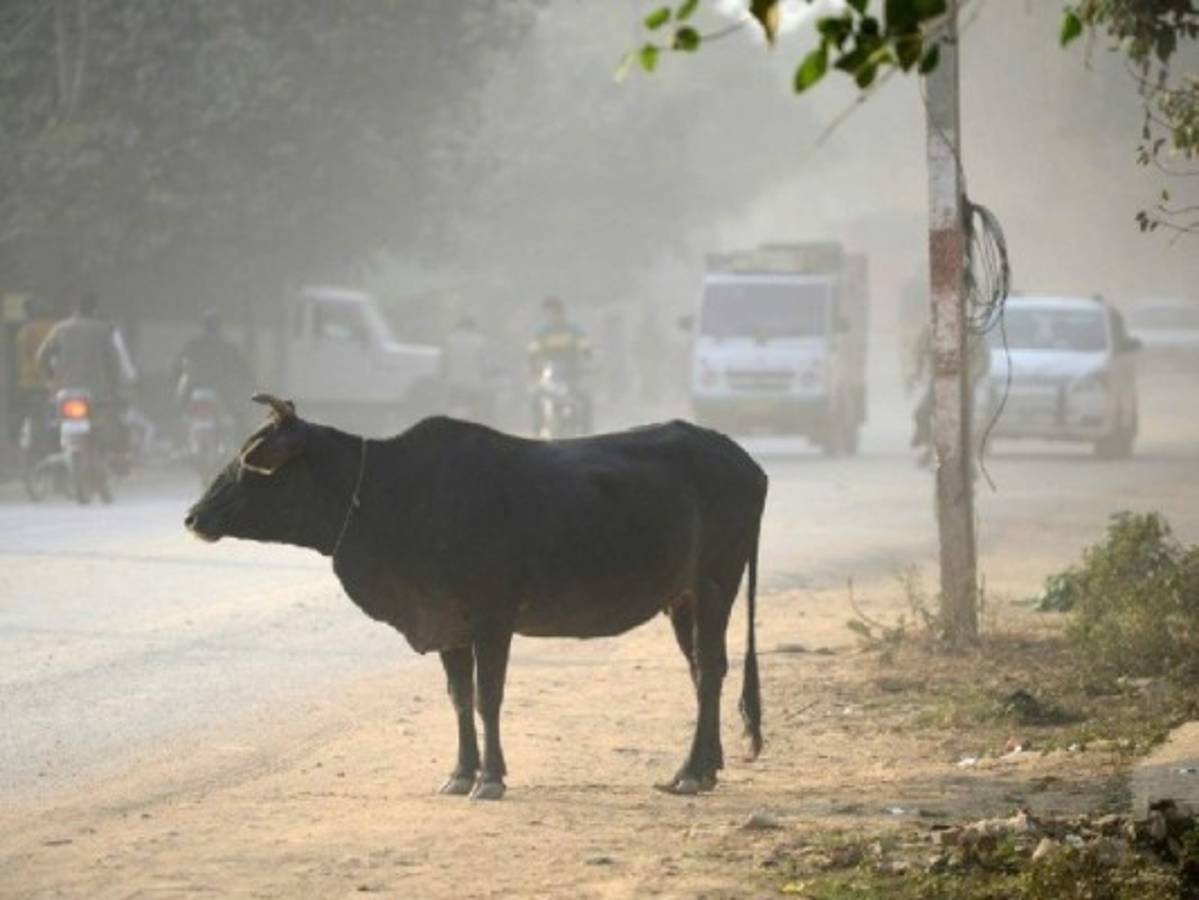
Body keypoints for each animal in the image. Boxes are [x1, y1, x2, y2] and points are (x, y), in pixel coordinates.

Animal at [185, 393, 768, 800]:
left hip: (716, 583)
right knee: (704, 669)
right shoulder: (449, 623)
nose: (193, 516)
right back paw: (706, 766)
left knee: (710, 672)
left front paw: (491, 777)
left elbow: (488, 697)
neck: (381, 493)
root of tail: (748, 464)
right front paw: (461, 772)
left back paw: (690, 771)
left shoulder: (493, 618)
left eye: (250, 460)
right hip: (682, 599)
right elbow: (460, 697)